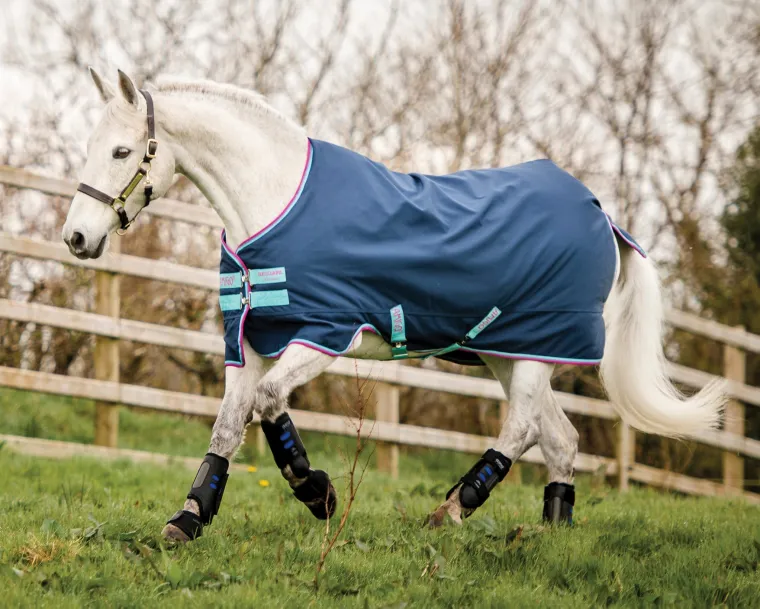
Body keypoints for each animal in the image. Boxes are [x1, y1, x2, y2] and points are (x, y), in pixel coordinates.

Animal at [62, 69, 725, 542]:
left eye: (121, 152)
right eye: (90, 146)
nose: (77, 238)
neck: (274, 202)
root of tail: (602, 215)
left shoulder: (325, 333)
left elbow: (268, 403)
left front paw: (318, 493)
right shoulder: (247, 340)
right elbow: (229, 423)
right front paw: (189, 518)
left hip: (539, 349)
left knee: (523, 429)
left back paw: (450, 512)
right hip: (507, 352)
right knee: (559, 438)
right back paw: (550, 535)